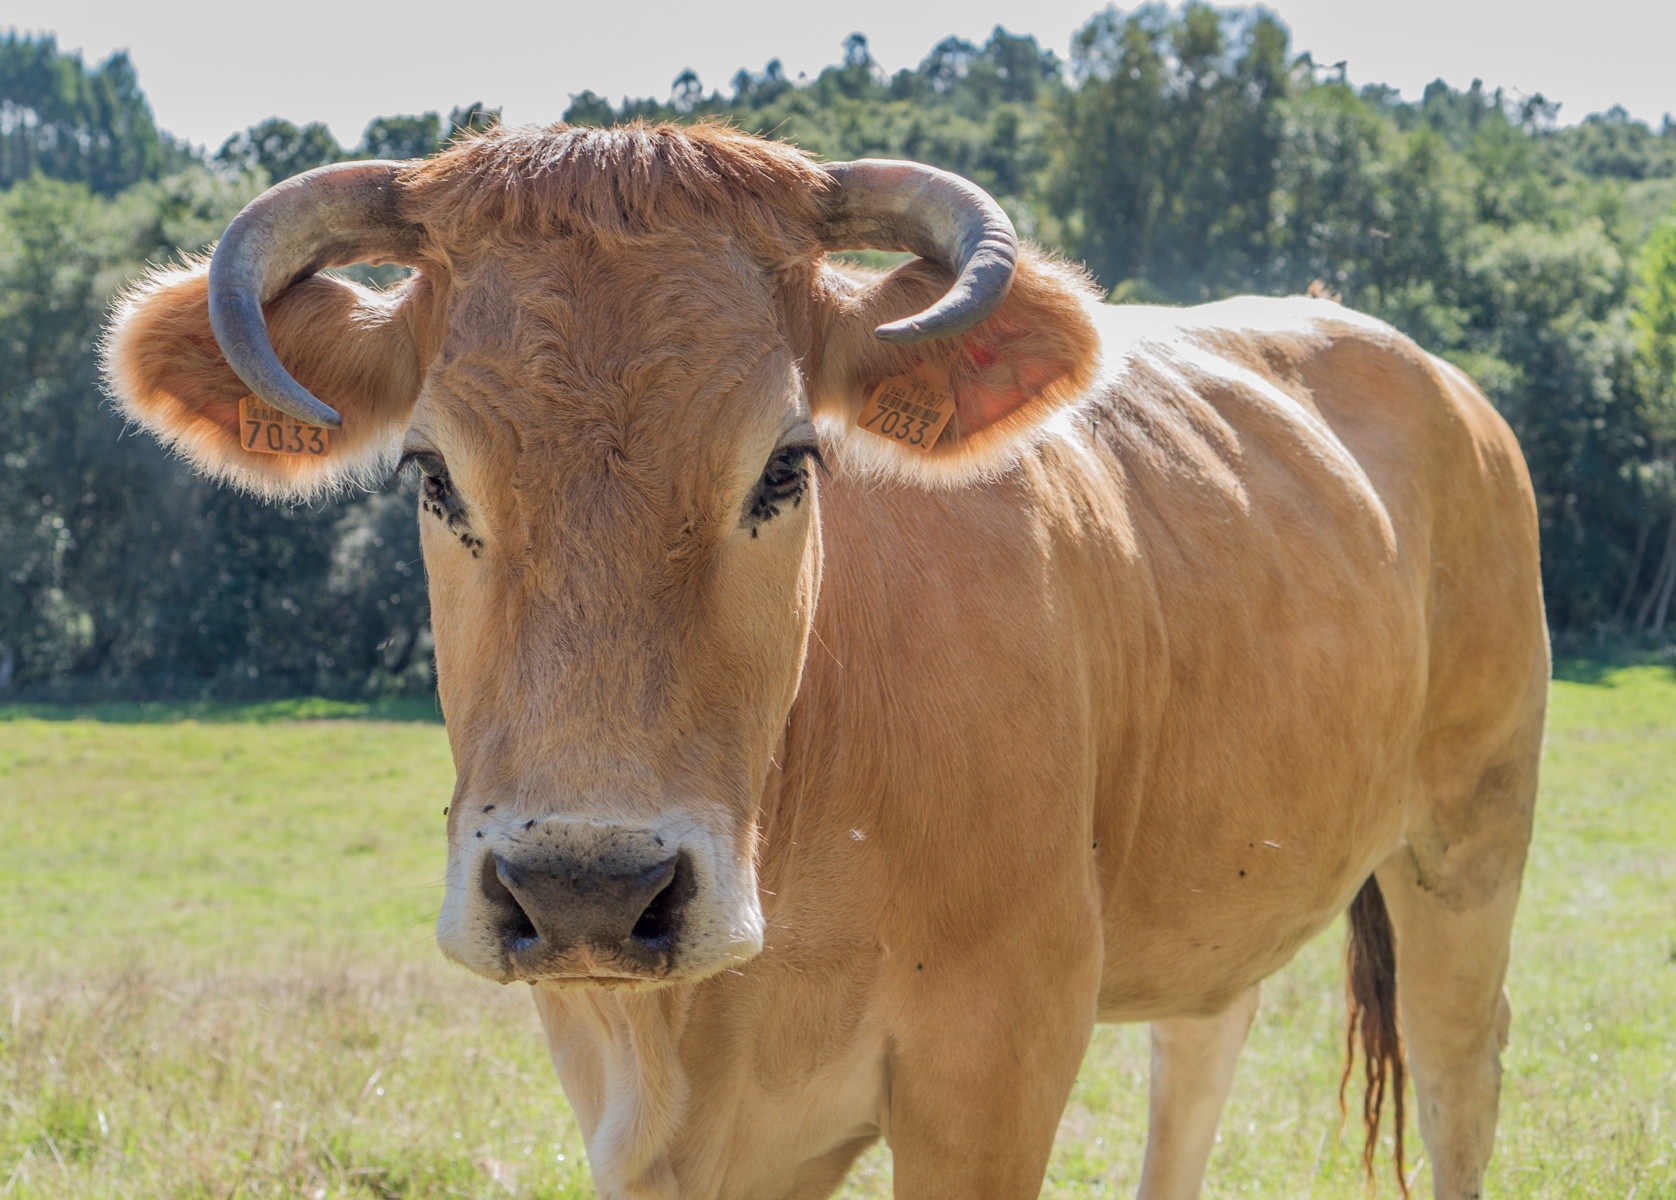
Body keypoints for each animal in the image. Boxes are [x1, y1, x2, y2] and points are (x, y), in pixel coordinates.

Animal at [101, 124, 1541, 1200]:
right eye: (431, 472)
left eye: (787, 465)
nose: (586, 887)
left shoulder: (994, 1066)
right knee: (1202, 1051)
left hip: (1468, 840)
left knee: (1459, 1074)